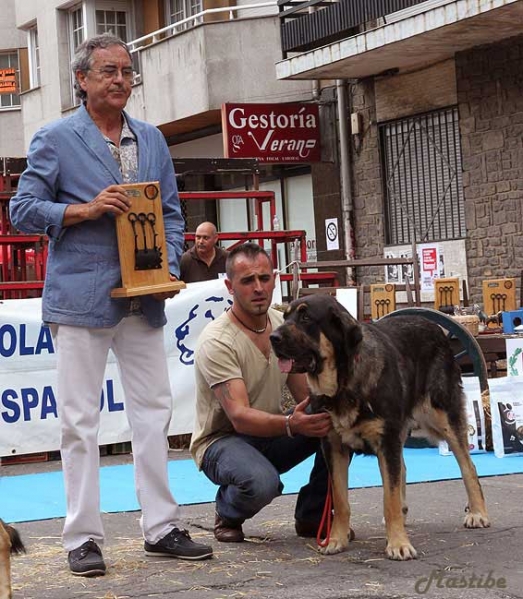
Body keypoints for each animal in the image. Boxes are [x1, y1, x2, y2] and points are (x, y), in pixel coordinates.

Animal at [270, 296, 492, 564]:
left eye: (305, 318)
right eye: (285, 317)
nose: (272, 337)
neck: (343, 382)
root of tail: (434, 326)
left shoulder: (387, 442)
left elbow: (390, 497)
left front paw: (398, 543)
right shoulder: (333, 446)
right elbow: (341, 500)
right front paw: (337, 539)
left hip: (442, 417)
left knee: (468, 466)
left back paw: (478, 513)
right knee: (405, 469)